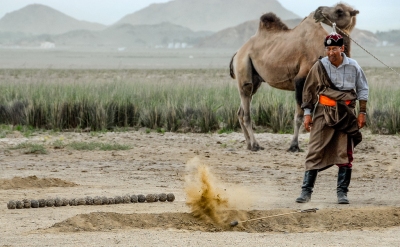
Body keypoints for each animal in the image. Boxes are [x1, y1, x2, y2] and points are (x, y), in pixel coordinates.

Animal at [228, 2, 360, 151]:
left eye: (339, 11)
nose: (319, 11)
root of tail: (238, 52)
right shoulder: (301, 79)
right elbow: (299, 116)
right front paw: (294, 145)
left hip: (255, 79)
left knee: (241, 110)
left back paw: (249, 144)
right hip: (243, 66)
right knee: (246, 110)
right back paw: (255, 145)